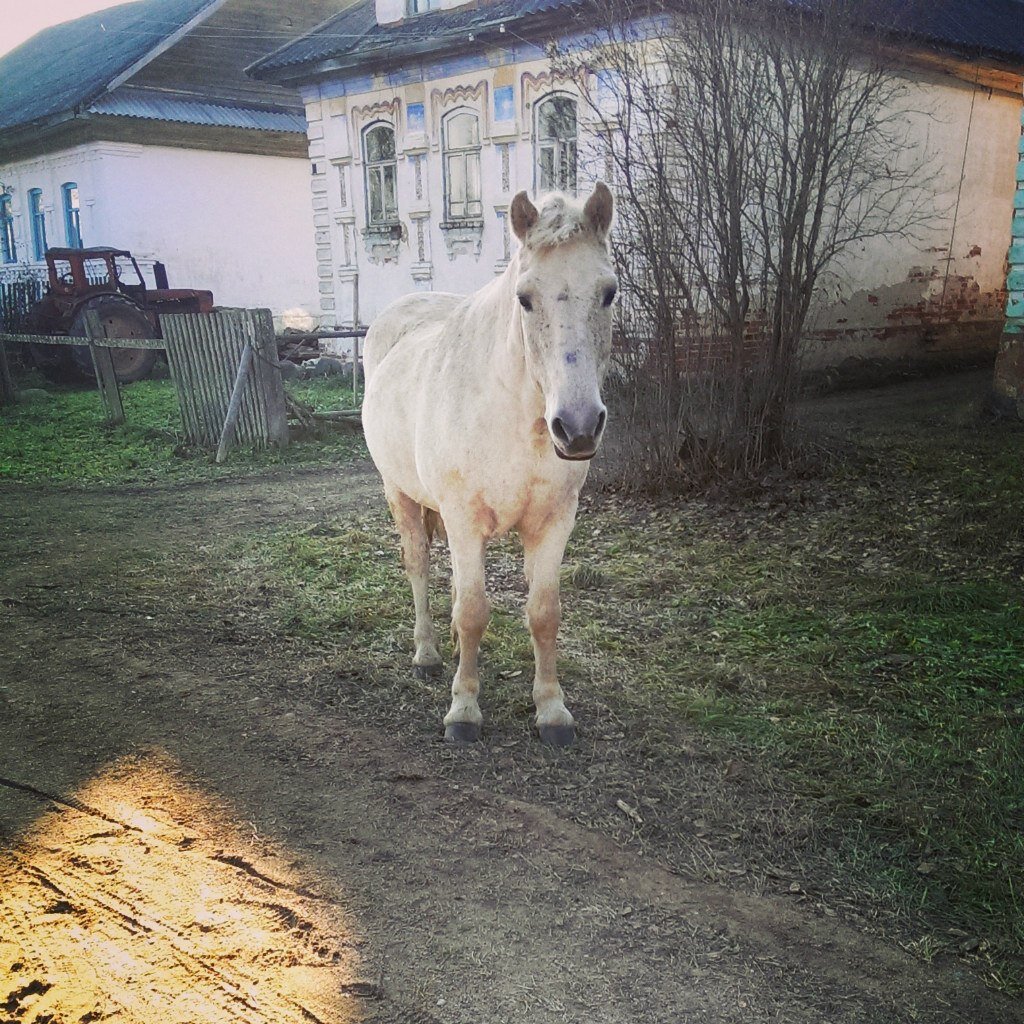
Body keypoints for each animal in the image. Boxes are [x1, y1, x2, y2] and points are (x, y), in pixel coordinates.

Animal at [362, 184, 614, 745]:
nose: (578, 427)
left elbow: (543, 613)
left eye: (609, 293)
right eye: (524, 298)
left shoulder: (554, 522)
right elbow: (474, 610)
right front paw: (464, 710)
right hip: (400, 494)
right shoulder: (462, 519)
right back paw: (429, 654)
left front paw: (552, 711)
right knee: (419, 566)